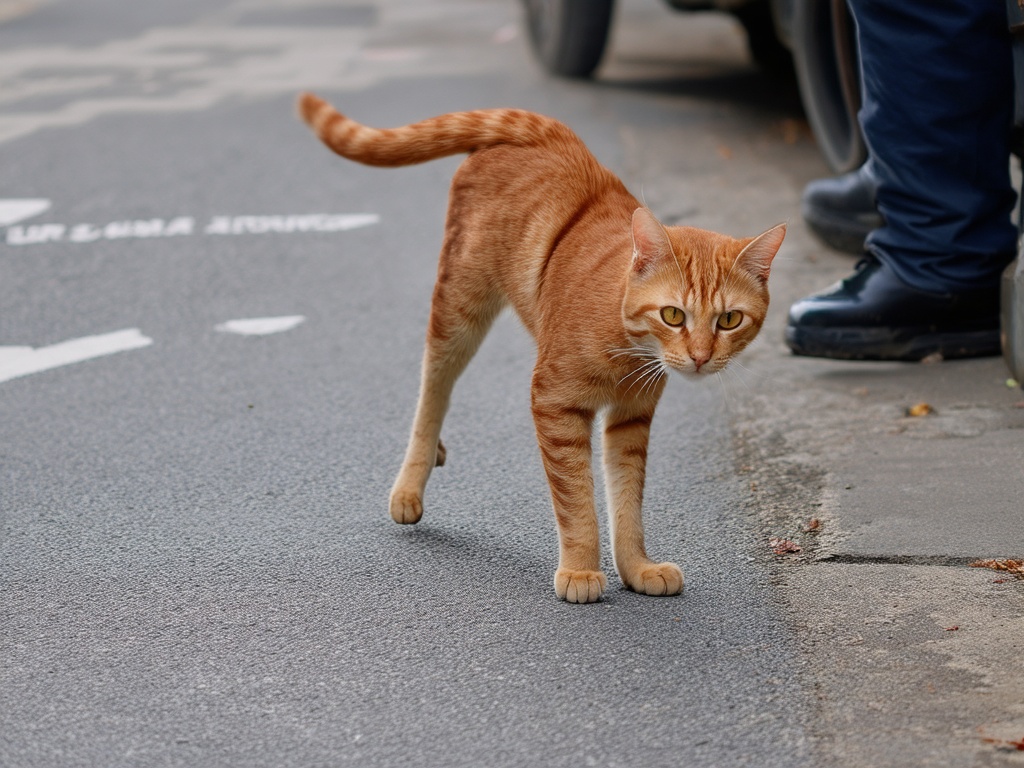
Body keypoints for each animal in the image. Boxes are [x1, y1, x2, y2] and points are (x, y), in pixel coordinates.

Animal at [296, 93, 782, 606]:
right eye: (673, 315)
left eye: (729, 320)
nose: (701, 357)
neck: (628, 350)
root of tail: (545, 130)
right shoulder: (555, 405)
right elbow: (577, 502)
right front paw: (580, 570)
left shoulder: (631, 421)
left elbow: (626, 502)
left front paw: (636, 566)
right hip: (458, 311)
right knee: (432, 392)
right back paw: (413, 479)